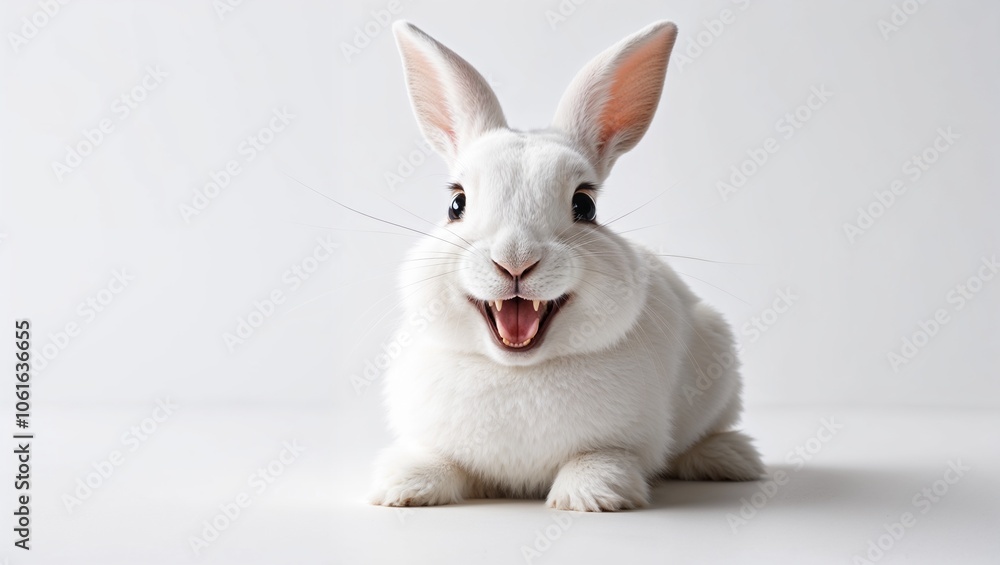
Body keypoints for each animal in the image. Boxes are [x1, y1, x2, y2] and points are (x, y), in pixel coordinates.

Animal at [368, 20, 763, 512]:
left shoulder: (622, 443)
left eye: (585, 205)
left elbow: (601, 457)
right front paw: (403, 488)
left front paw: (592, 495)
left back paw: (731, 458)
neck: (517, 372)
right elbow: (438, 459)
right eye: (456, 204)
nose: (515, 259)